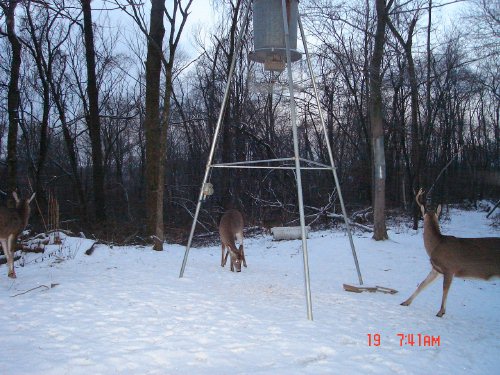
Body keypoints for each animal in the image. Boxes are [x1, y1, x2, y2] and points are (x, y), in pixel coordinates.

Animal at [400, 188, 500, 318]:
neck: (436, 245)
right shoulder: (437, 269)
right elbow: (422, 284)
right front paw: (406, 302)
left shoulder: (449, 268)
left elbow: (445, 289)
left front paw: (441, 312)